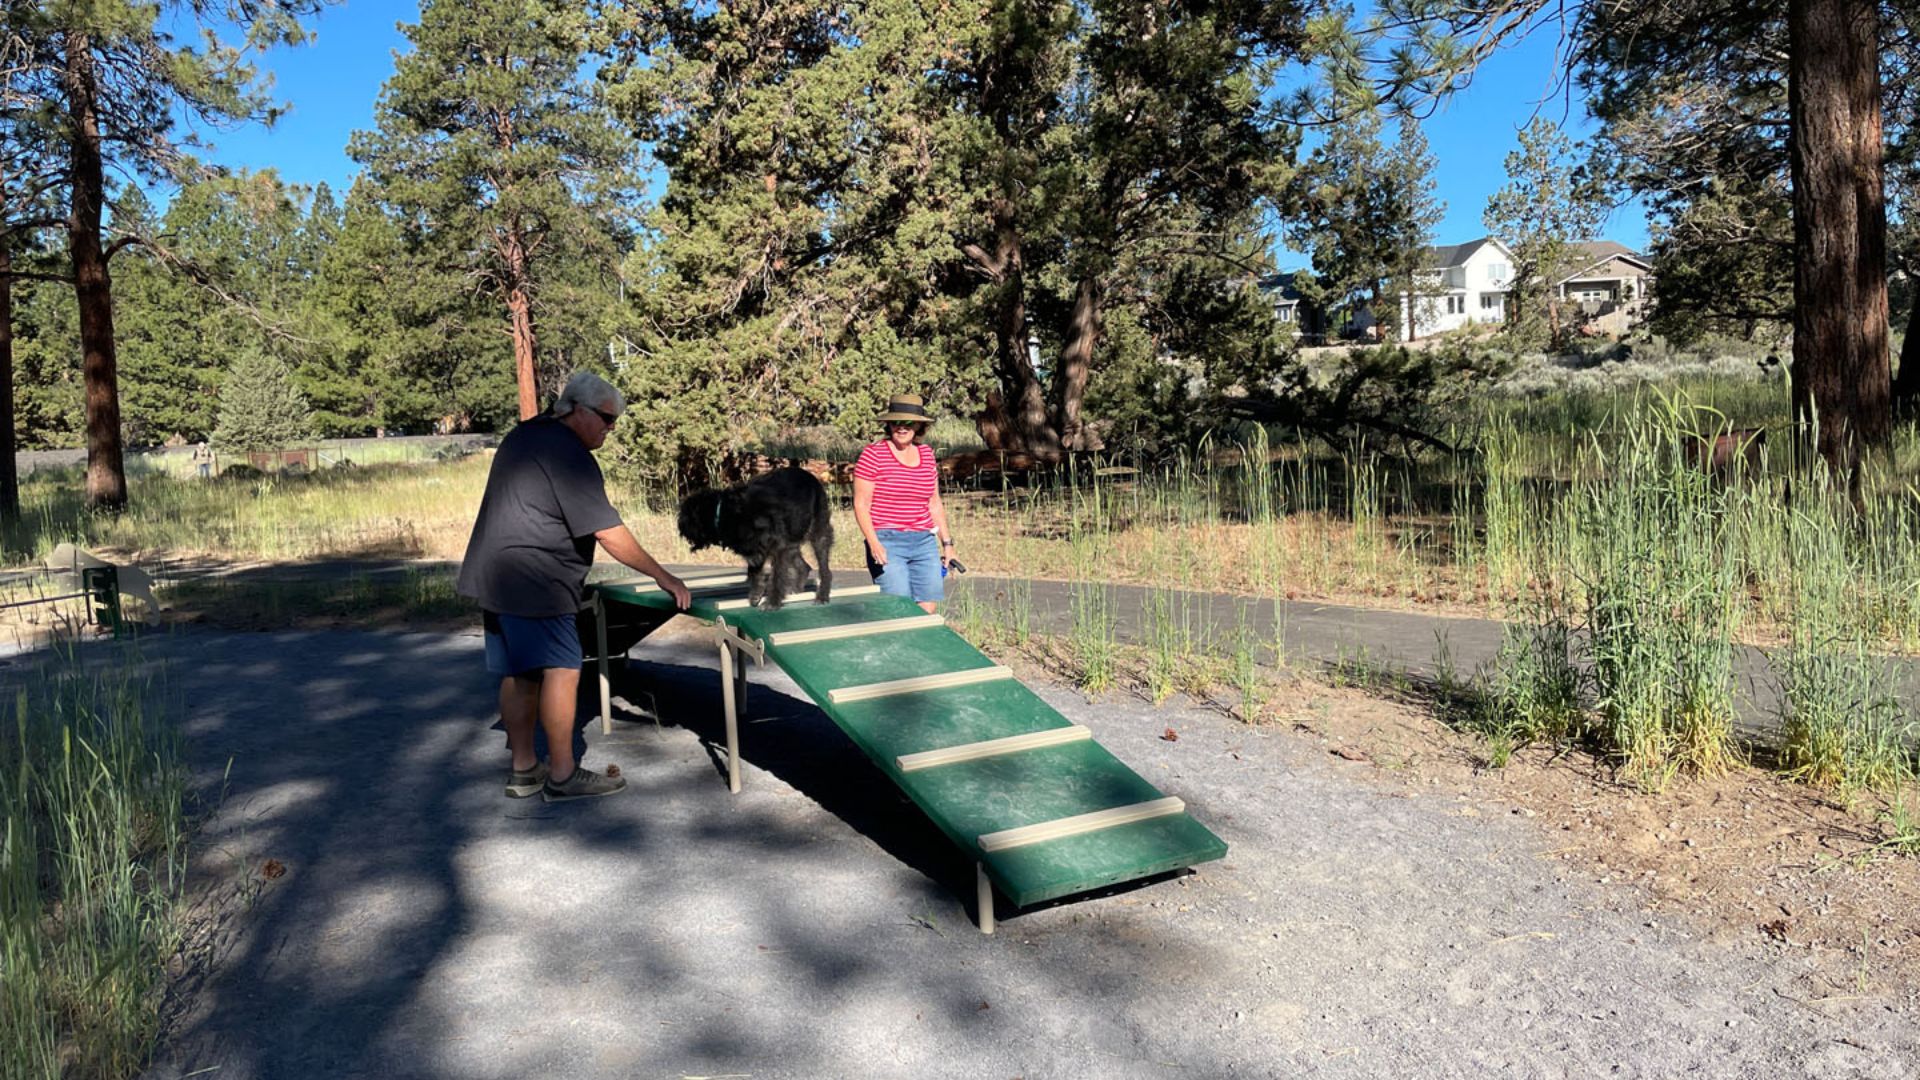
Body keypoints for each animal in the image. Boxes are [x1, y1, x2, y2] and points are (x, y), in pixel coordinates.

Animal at [675, 466, 833, 611]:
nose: (679, 524)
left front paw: (772, 602)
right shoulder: (754, 550)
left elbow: (777, 575)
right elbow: (755, 572)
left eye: (685, 513)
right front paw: (756, 594)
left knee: (824, 567)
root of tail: (811, 477)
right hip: (793, 541)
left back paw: (822, 596)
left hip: (819, 534)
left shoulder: (778, 546)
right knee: (804, 566)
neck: (728, 512)